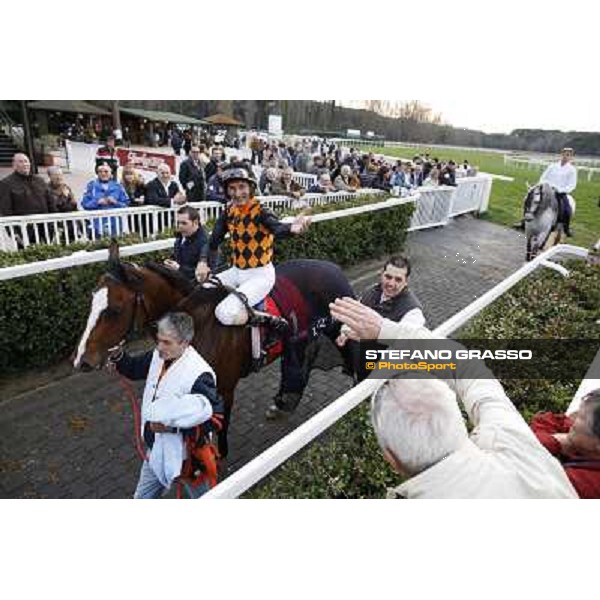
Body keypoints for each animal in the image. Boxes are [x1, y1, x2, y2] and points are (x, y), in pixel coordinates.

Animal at [74, 241, 356, 458]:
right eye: (91, 300)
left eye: (114, 310)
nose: (81, 360)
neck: (196, 323)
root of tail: (331, 266)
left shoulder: (224, 387)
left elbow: (221, 423)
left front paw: (219, 453)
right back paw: (284, 401)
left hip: (339, 328)